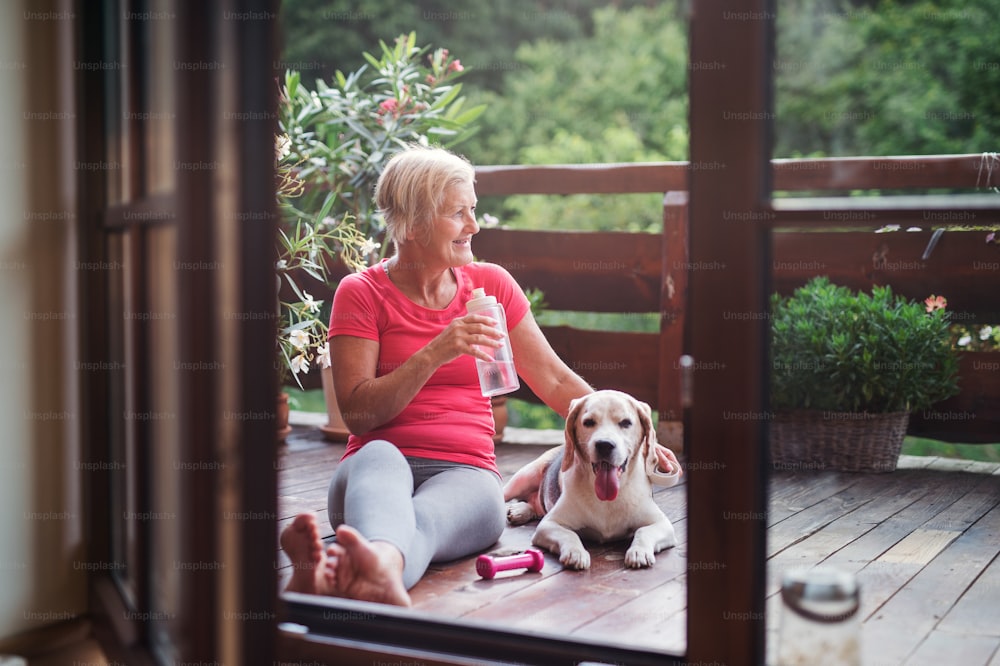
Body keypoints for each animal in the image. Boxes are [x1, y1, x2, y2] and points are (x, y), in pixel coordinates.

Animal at [504, 386, 684, 568]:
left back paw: (521, 510)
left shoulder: (662, 524)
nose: (604, 445)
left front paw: (639, 551)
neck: (607, 501)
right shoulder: (548, 524)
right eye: (588, 422)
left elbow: (643, 531)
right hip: (522, 479)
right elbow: (570, 534)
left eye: (626, 422)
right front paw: (575, 552)